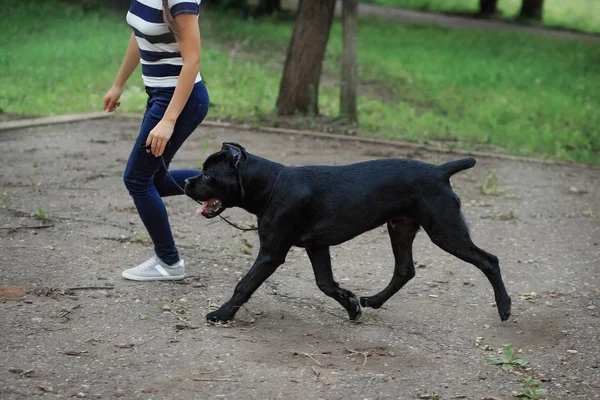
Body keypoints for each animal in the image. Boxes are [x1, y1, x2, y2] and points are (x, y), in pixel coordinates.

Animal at [184, 142, 510, 324]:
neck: (271, 186)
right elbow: (326, 284)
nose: (186, 182)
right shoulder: (317, 247)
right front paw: (351, 305)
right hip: (401, 228)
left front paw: (222, 314)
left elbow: (244, 285)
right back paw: (374, 301)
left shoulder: (271, 254)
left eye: (208, 175)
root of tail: (441, 171)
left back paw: (505, 307)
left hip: (445, 231)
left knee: (489, 260)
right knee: (405, 270)